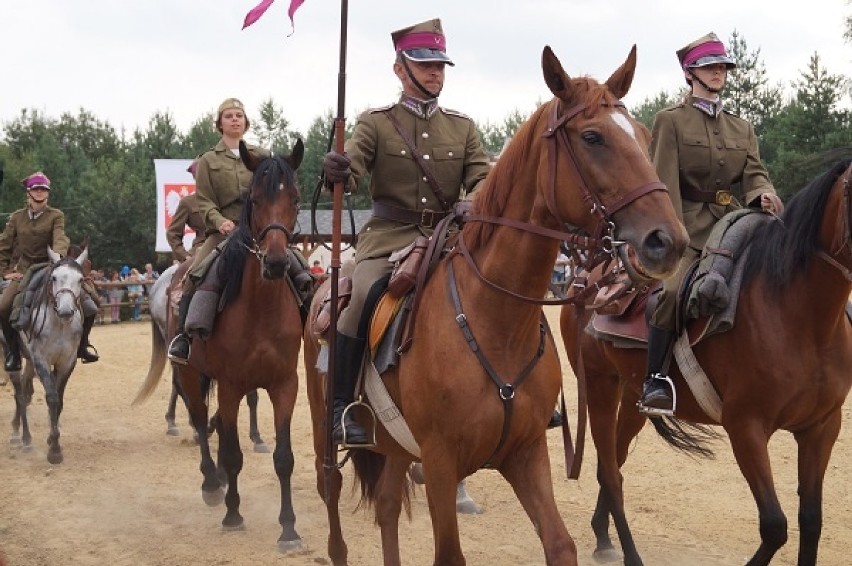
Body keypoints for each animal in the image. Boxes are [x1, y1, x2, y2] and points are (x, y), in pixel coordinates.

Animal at [7, 250, 88, 466]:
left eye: (80, 279)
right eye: (54, 278)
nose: (66, 312)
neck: (59, 324)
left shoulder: (67, 362)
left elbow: (59, 400)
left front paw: (53, 438)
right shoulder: (42, 360)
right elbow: (52, 398)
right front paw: (54, 450)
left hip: (29, 361)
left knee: (25, 391)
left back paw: (19, 431)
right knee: (19, 394)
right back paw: (24, 438)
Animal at [302, 45, 688, 566]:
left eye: (645, 137)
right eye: (592, 137)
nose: (667, 242)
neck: (495, 320)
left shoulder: (527, 452)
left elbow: (560, 545)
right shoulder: (440, 463)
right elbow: (449, 554)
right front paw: (337, 167)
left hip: (398, 447)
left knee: (385, 506)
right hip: (327, 428)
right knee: (332, 494)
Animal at [564, 160, 852, 566]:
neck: (801, 316)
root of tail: (589, 281)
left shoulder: (822, 427)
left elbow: (810, 522)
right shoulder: (745, 427)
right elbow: (774, 526)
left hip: (633, 398)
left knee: (615, 462)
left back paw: (603, 535)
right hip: (599, 387)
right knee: (609, 472)